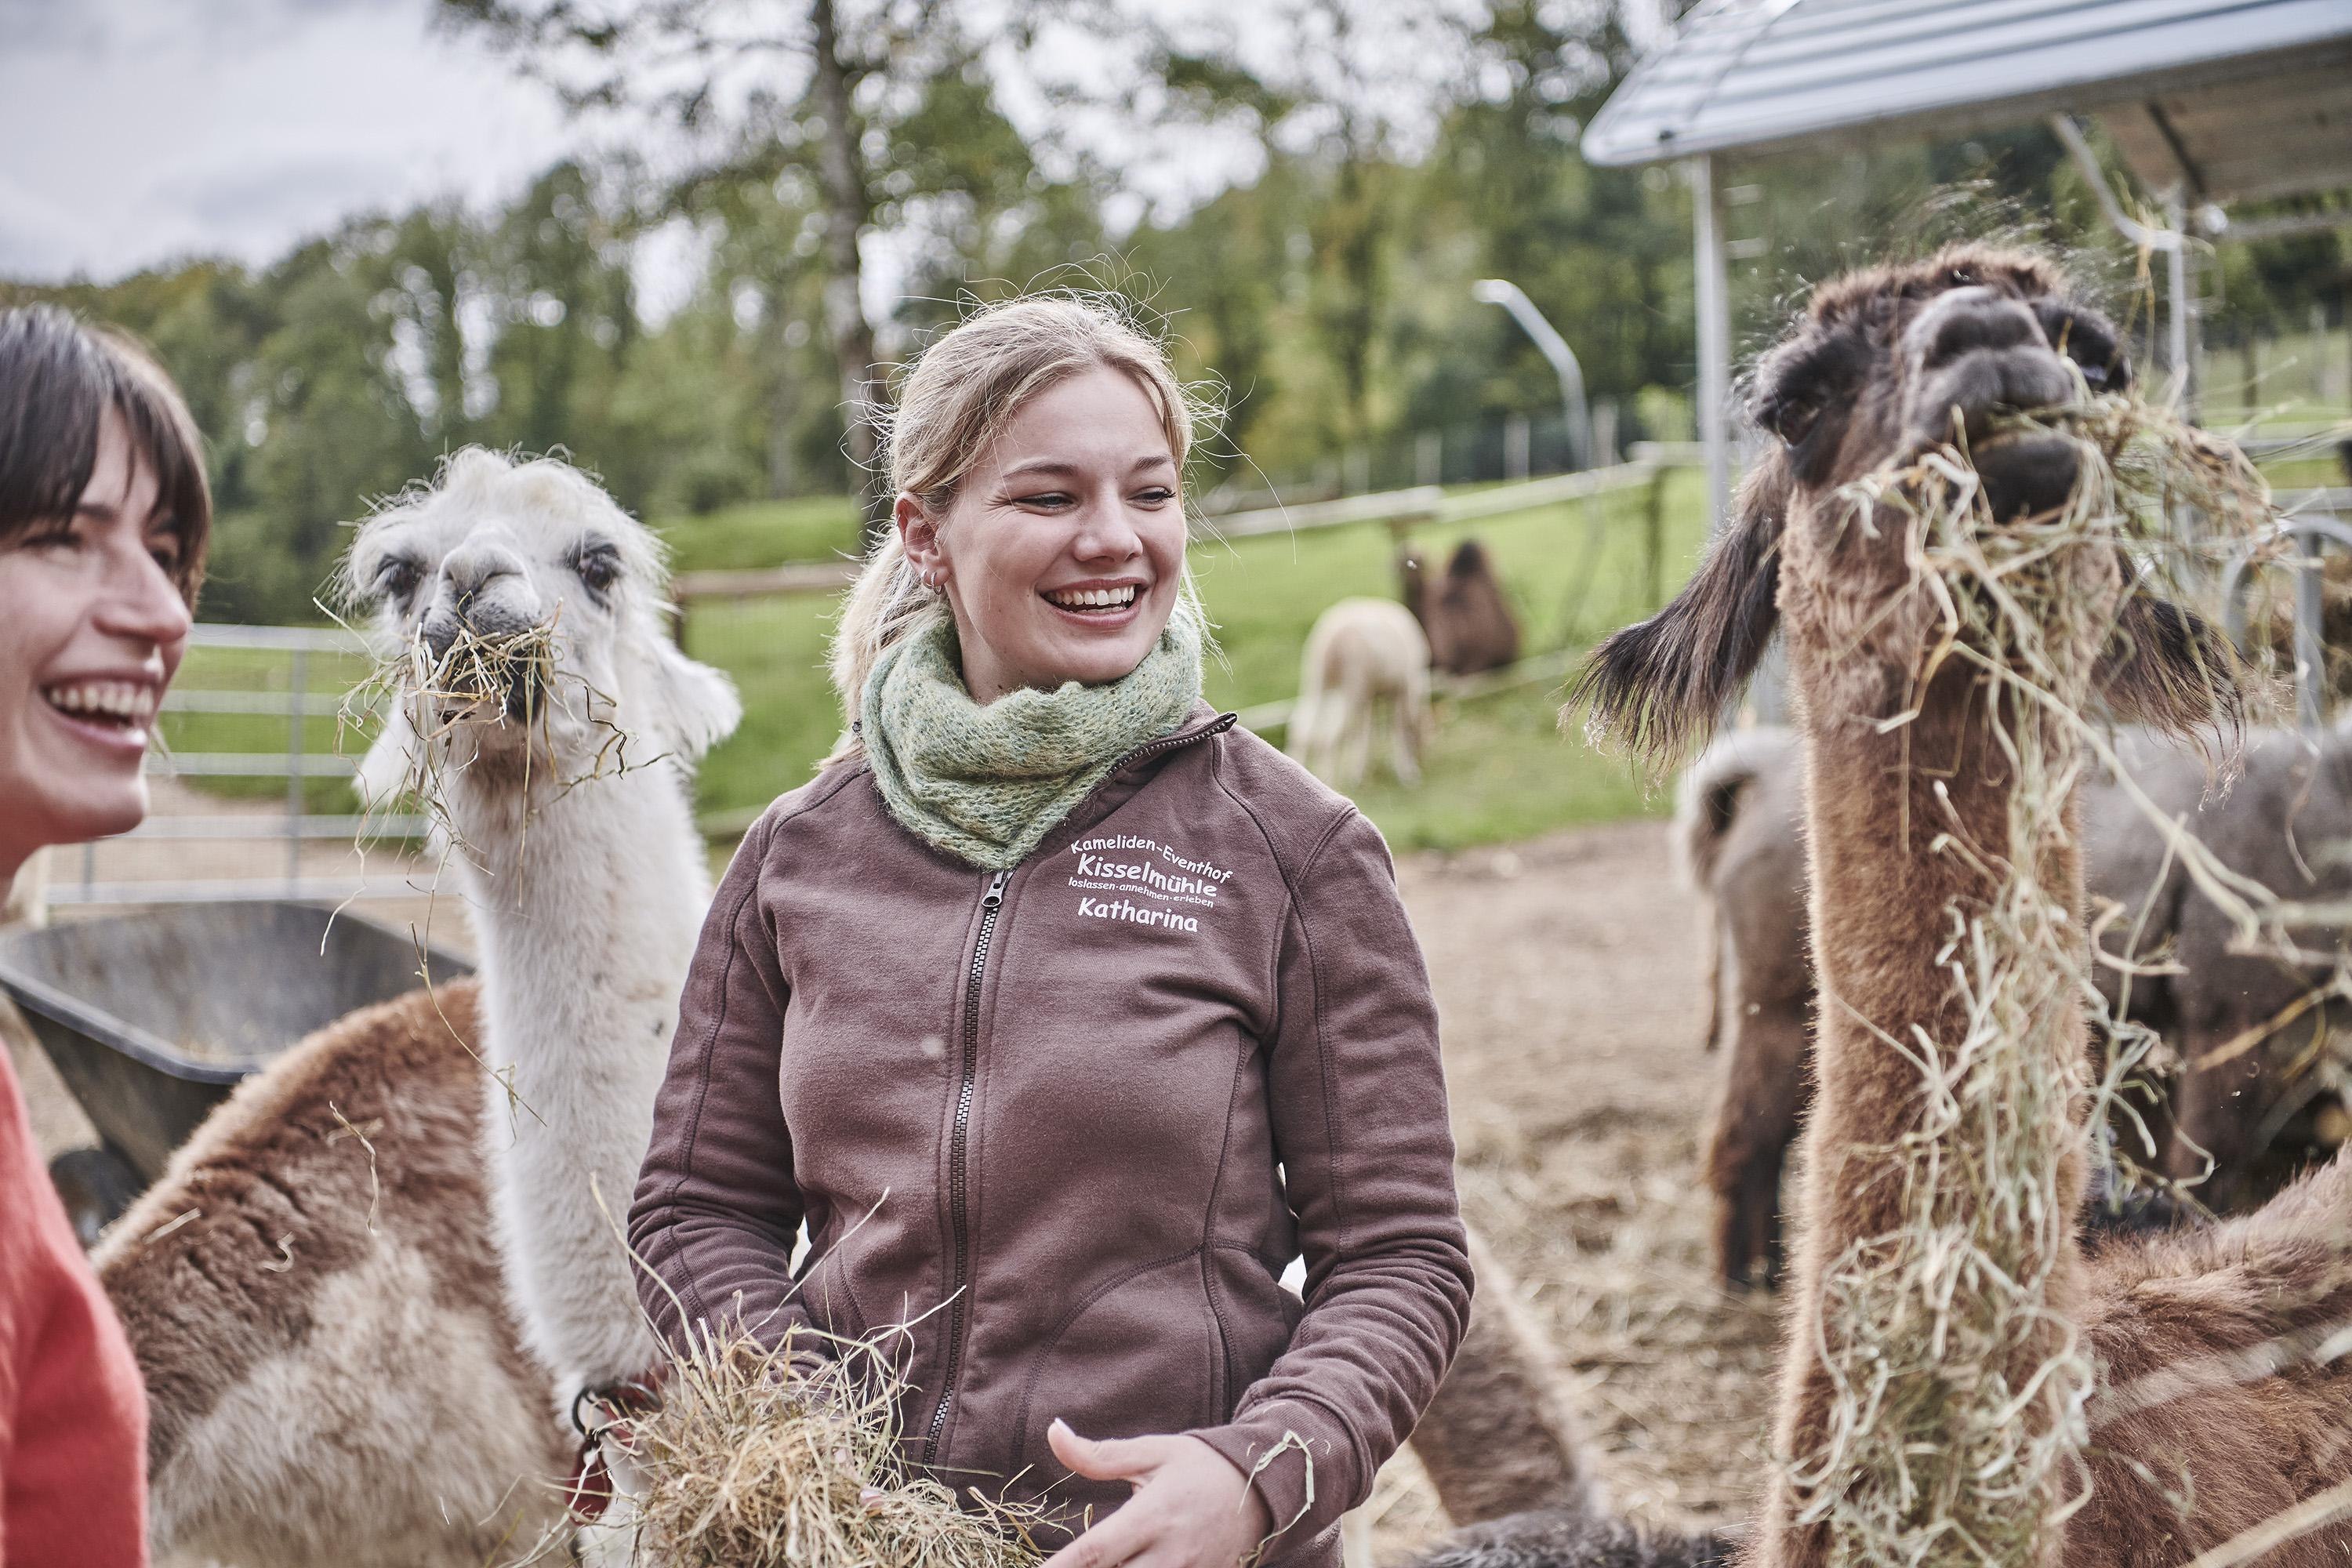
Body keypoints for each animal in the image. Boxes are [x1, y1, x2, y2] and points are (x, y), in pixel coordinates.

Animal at [1288, 596, 1435, 786]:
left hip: (1316, 678)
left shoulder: (1373, 694)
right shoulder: (1402, 688)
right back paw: (1330, 780)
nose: (1422, 759)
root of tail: (1331, 636)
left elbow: (1369, 728)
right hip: (1354, 681)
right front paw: (1407, 772)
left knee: (1303, 724)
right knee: (1331, 735)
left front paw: (1363, 769)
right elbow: (1398, 727)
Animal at [1682, 721, 2352, 1286]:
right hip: (1786, 1000)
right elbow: (2210, 1151)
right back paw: (1746, 1277)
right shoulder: (2228, 1011)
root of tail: (1760, 774)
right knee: (1748, 1128)